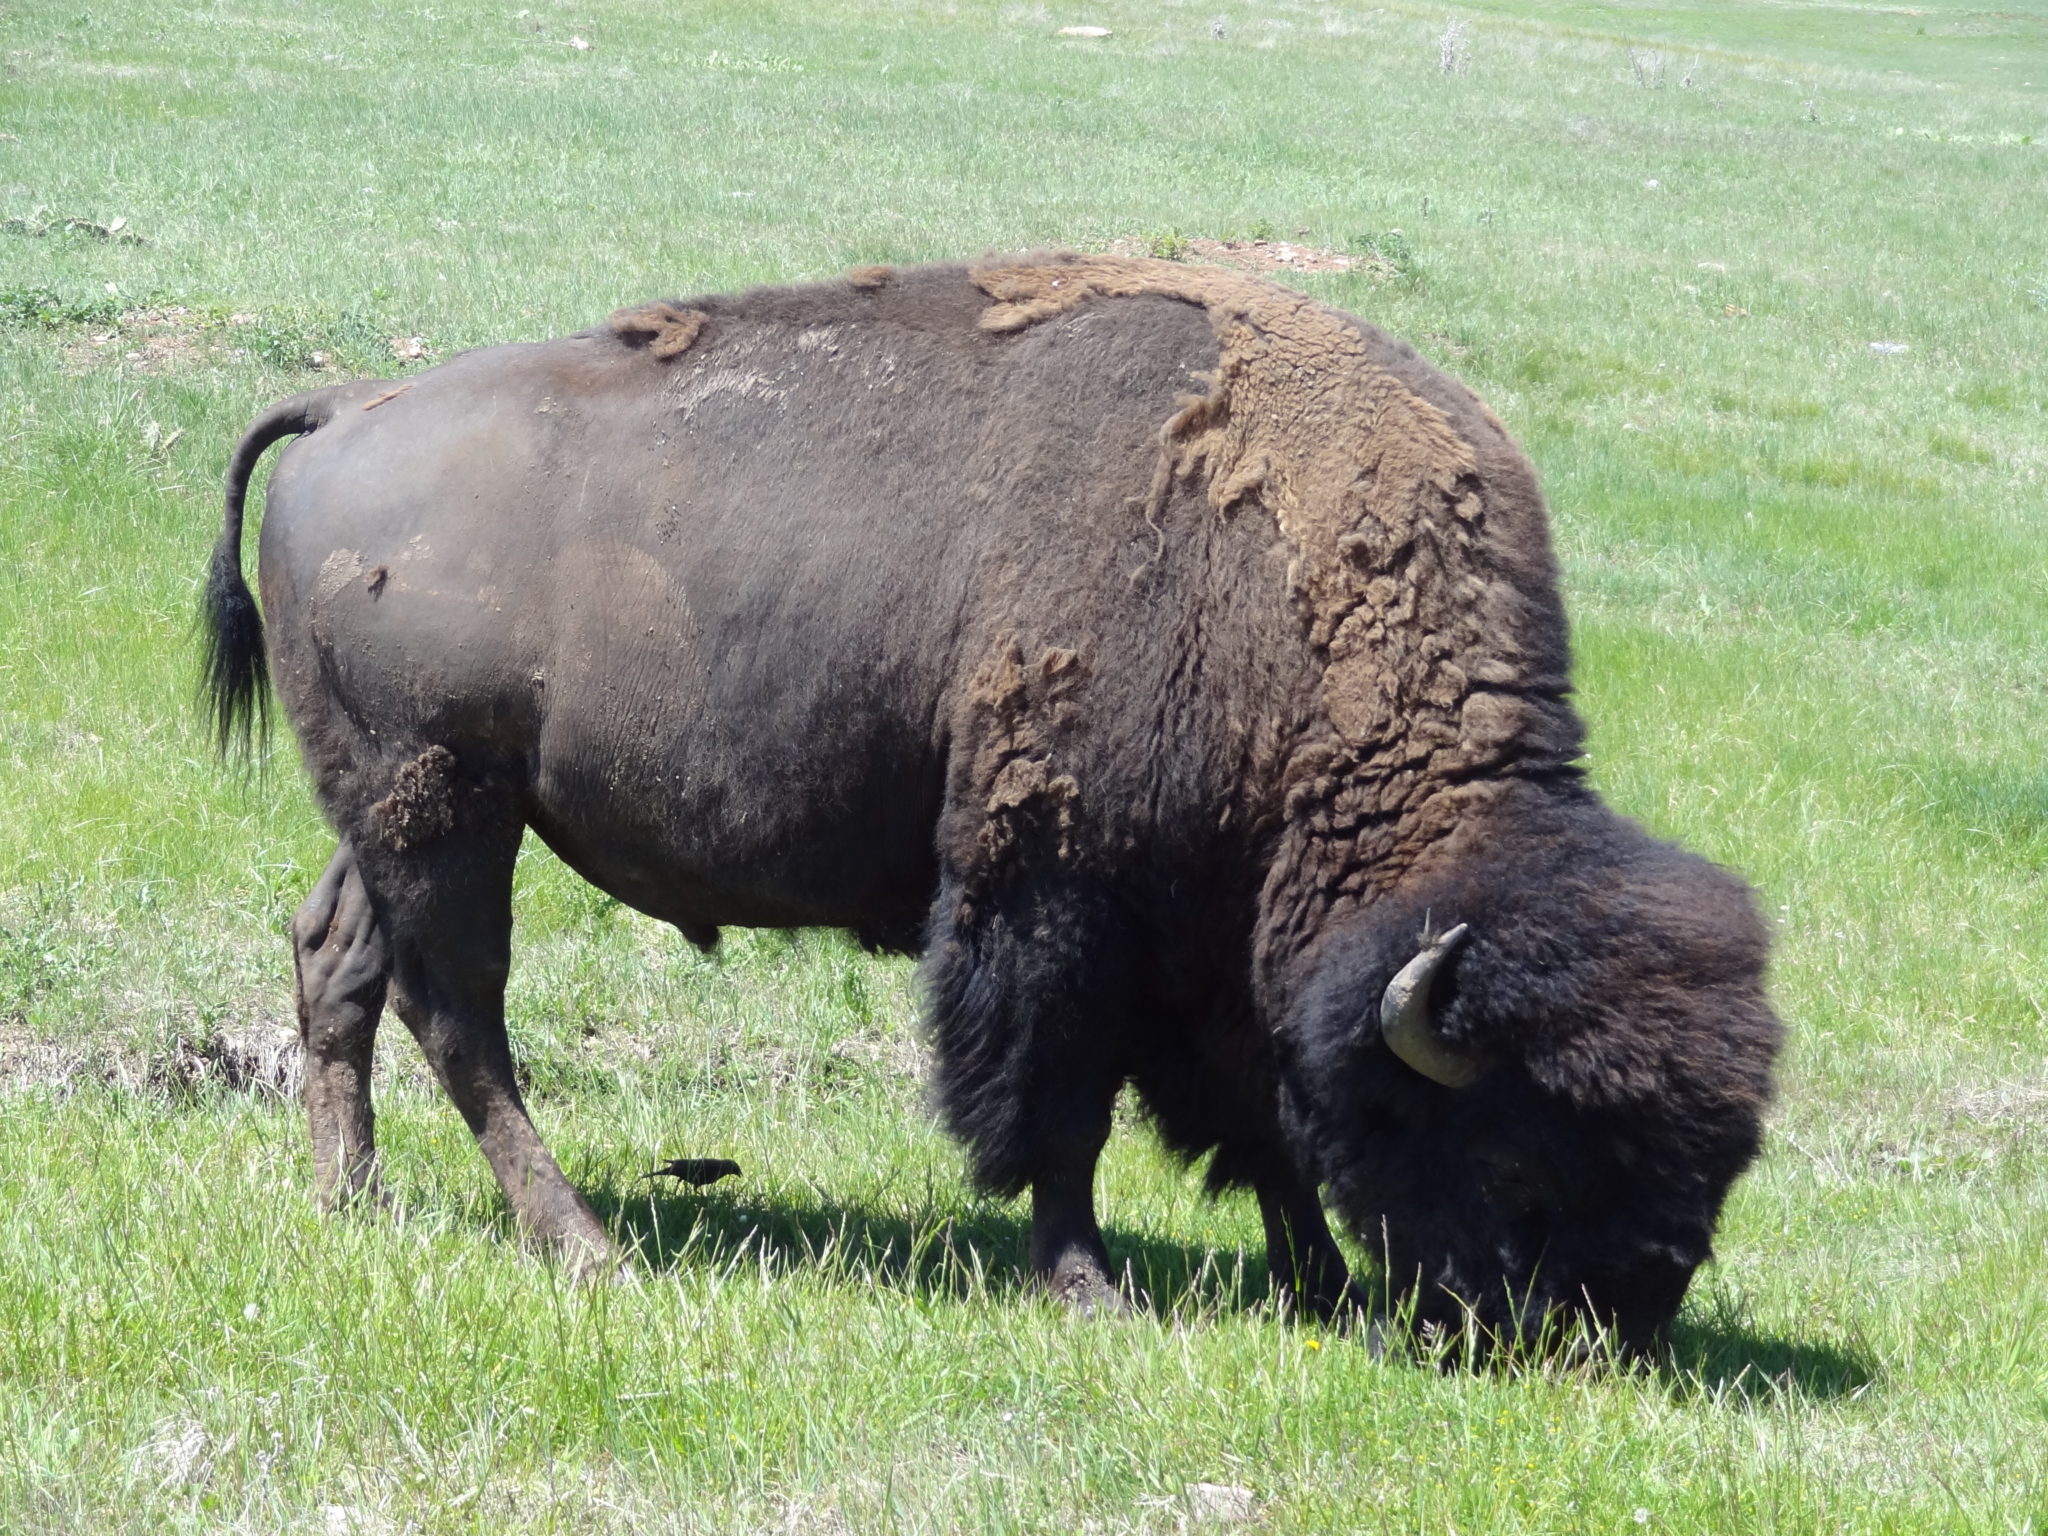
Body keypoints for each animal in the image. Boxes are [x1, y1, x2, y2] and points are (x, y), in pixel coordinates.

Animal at [199, 259, 1785, 1351]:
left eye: (1718, 1155)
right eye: (1523, 1143)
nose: (1614, 1329)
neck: (1290, 596)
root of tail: (348, 407)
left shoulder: (1205, 941)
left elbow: (1254, 1113)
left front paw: (1319, 1286)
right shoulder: (1054, 899)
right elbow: (1060, 1107)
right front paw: (1089, 1286)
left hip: (401, 814)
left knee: (338, 958)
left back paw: (354, 1197)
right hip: (449, 811)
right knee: (458, 1011)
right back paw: (585, 1246)